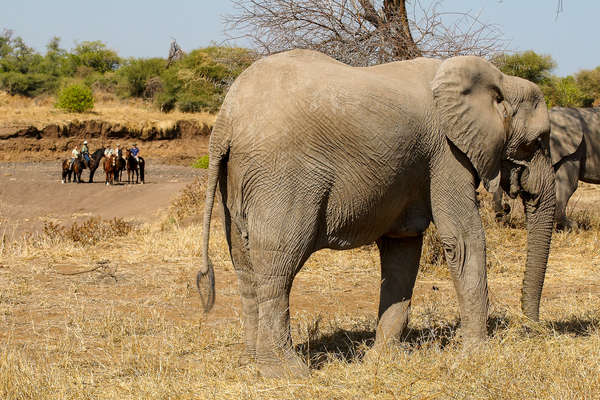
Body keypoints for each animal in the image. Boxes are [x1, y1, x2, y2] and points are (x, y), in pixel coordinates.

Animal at [199, 50, 556, 378]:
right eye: (537, 141)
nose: (532, 326)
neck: (499, 79)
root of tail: (226, 120)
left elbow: (403, 249)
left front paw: (382, 360)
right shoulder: (446, 154)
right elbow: (464, 239)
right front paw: (476, 355)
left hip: (236, 180)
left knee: (245, 265)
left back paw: (253, 364)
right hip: (281, 175)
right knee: (279, 264)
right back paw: (287, 372)